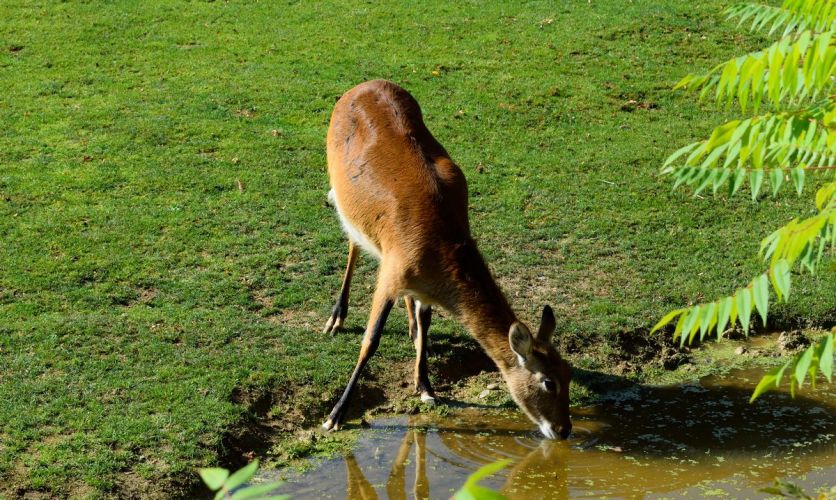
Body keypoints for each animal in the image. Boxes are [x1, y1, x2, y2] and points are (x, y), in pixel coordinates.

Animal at [322, 78, 576, 438]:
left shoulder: (418, 283)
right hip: (340, 192)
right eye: (548, 382)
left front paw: (426, 386)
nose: (564, 429)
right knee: (352, 242)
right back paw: (336, 319)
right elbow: (370, 341)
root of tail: (362, 86)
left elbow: (426, 324)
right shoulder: (390, 274)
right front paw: (335, 415)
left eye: (569, 372)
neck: (438, 244)